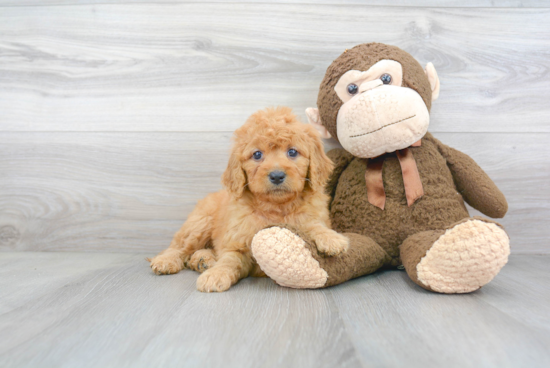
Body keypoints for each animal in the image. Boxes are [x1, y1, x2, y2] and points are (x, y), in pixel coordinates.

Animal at [150, 107, 350, 294]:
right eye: (257, 155)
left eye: (292, 152)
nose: (277, 176)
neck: (275, 207)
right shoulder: (236, 243)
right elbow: (229, 260)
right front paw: (216, 274)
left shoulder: (310, 216)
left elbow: (313, 224)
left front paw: (331, 238)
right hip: (199, 223)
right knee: (179, 246)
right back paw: (167, 261)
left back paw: (202, 259)